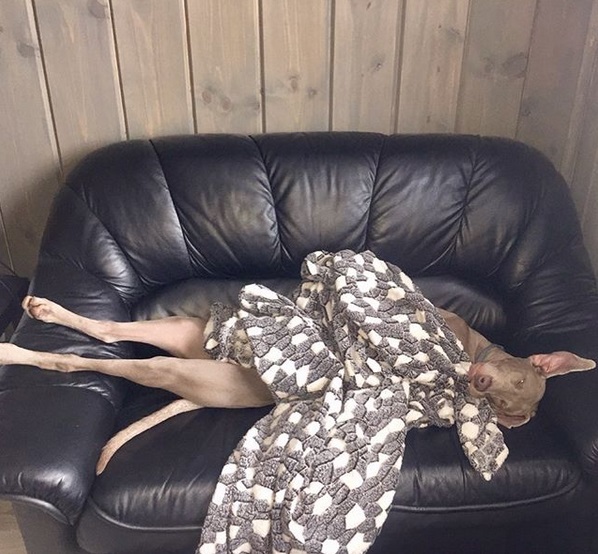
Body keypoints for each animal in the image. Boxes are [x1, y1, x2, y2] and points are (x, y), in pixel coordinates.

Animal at [1, 296, 596, 472]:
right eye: (518, 377)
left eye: (507, 400)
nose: (478, 381)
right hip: (181, 332)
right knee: (109, 331)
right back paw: (41, 311)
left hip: (183, 367)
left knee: (94, 362)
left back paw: (14, 348)